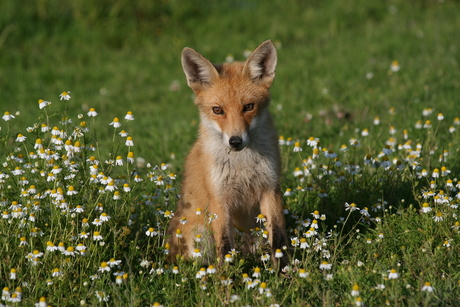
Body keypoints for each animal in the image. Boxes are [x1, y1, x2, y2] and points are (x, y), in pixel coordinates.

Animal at [165, 40, 288, 268]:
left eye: (249, 106)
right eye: (217, 110)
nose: (235, 141)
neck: (242, 164)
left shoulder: (271, 189)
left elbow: (279, 239)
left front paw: (285, 271)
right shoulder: (219, 198)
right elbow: (224, 247)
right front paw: (227, 277)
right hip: (199, 236)